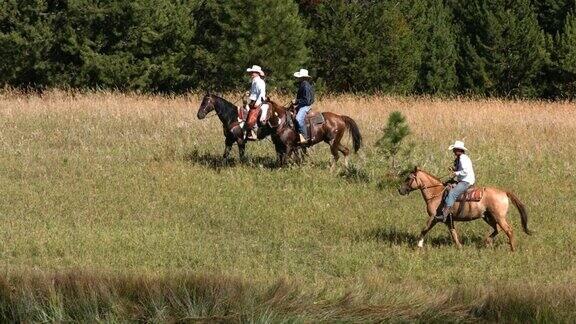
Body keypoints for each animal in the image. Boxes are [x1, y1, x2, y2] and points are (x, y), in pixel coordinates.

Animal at [398, 167, 528, 251]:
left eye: (408, 178)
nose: (400, 190)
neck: (436, 194)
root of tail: (504, 192)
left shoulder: (434, 217)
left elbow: (424, 229)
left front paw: (418, 245)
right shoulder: (448, 220)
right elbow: (453, 233)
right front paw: (460, 247)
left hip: (498, 217)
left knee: (508, 230)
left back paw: (512, 249)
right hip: (488, 217)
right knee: (497, 229)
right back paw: (487, 242)